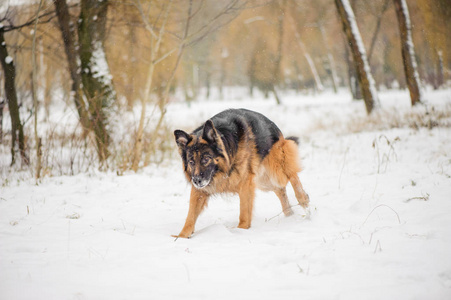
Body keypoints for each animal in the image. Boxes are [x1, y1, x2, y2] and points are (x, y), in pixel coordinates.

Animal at [174, 109, 310, 238]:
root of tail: (273, 125)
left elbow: (244, 211)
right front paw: (182, 236)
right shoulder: (200, 190)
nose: (196, 180)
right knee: (280, 189)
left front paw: (242, 230)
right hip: (264, 181)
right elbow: (191, 215)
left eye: (206, 159)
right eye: (191, 161)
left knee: (291, 176)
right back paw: (289, 214)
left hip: (276, 170)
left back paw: (304, 202)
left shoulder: (245, 184)